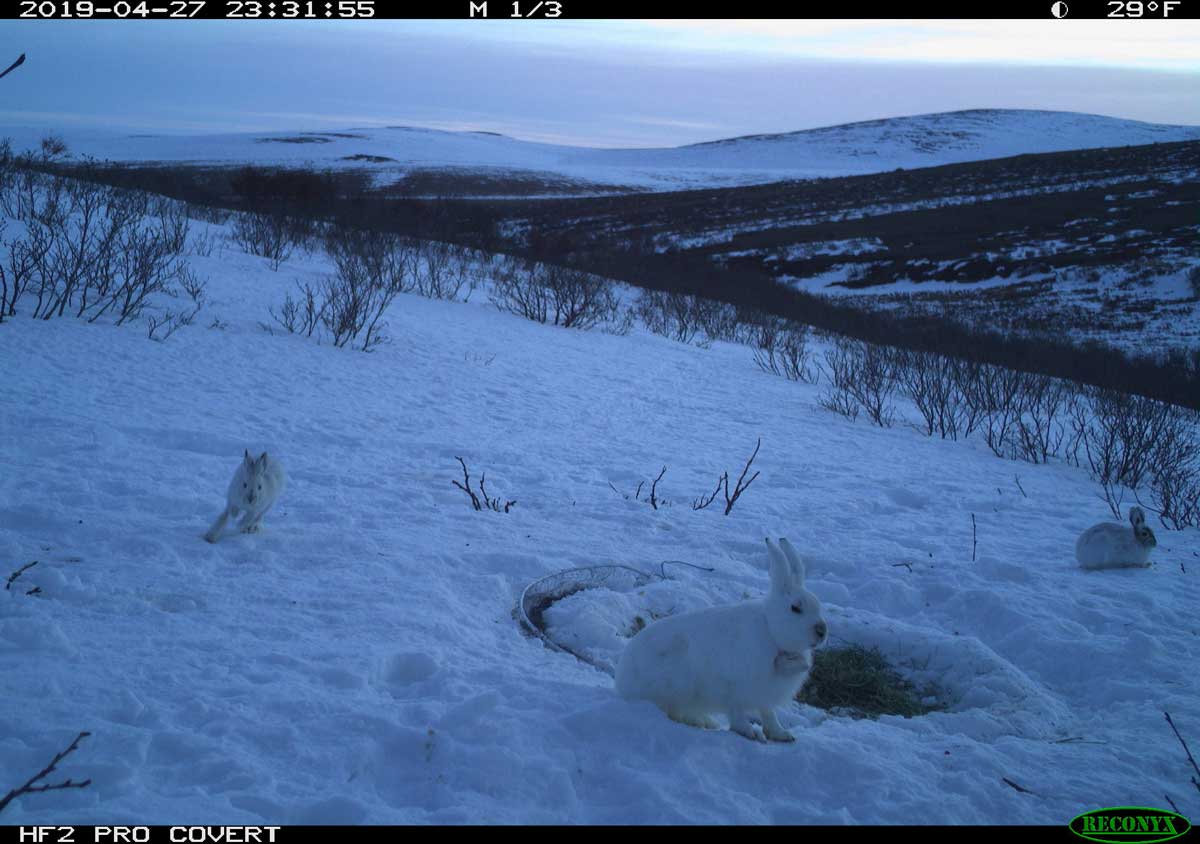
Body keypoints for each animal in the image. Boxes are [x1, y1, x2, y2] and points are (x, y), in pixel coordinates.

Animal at [615, 537, 828, 743]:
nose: (822, 631)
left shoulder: (763, 694)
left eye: (817, 603)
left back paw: (706, 722)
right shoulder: (734, 687)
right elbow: (737, 712)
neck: (770, 630)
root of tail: (621, 682)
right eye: (795, 608)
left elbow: (769, 715)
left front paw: (781, 735)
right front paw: (750, 733)